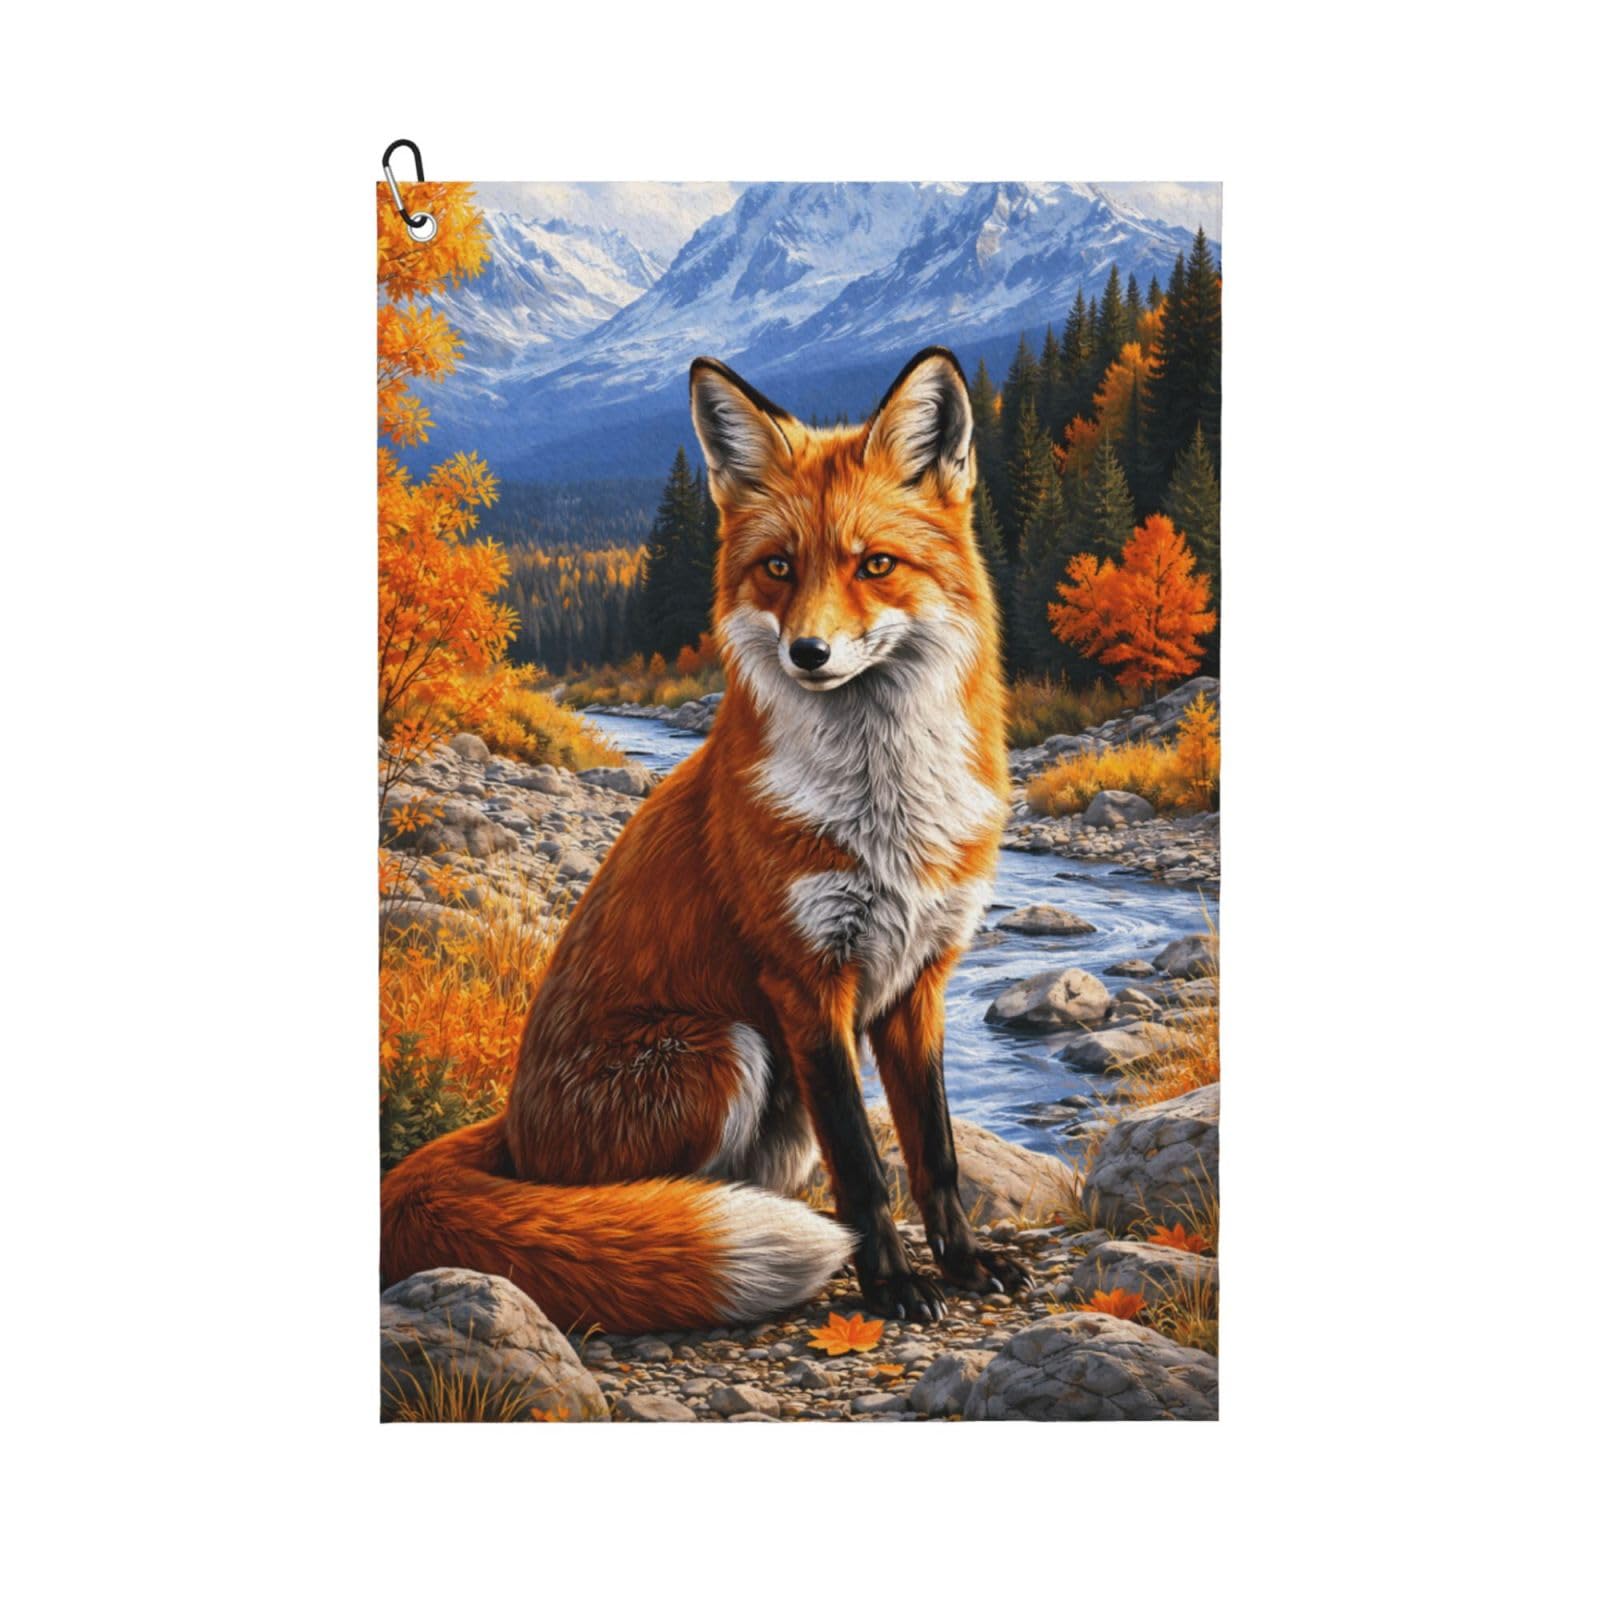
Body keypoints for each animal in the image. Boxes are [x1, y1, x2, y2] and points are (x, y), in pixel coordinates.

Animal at [381, 346, 1029, 1332]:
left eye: (876, 565)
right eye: (778, 567)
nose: (809, 653)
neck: (885, 816)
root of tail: (515, 1129)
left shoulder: (920, 979)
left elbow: (938, 1155)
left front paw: (962, 1262)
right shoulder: (806, 983)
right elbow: (865, 1168)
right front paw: (891, 1284)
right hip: (728, 1051)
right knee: (625, 1206)